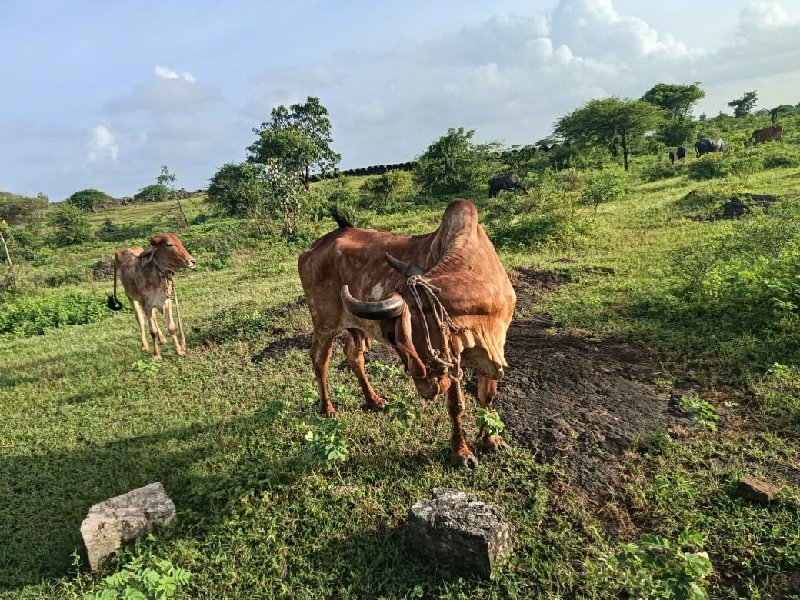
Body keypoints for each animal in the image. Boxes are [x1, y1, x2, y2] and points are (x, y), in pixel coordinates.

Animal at [296, 199, 516, 466]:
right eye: (393, 339)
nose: (427, 389)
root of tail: (316, 246)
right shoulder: (453, 357)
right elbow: (456, 404)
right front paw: (461, 453)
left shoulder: (496, 344)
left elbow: (488, 396)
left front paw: (492, 441)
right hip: (324, 322)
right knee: (320, 358)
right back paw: (327, 408)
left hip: (353, 326)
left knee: (353, 354)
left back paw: (373, 400)